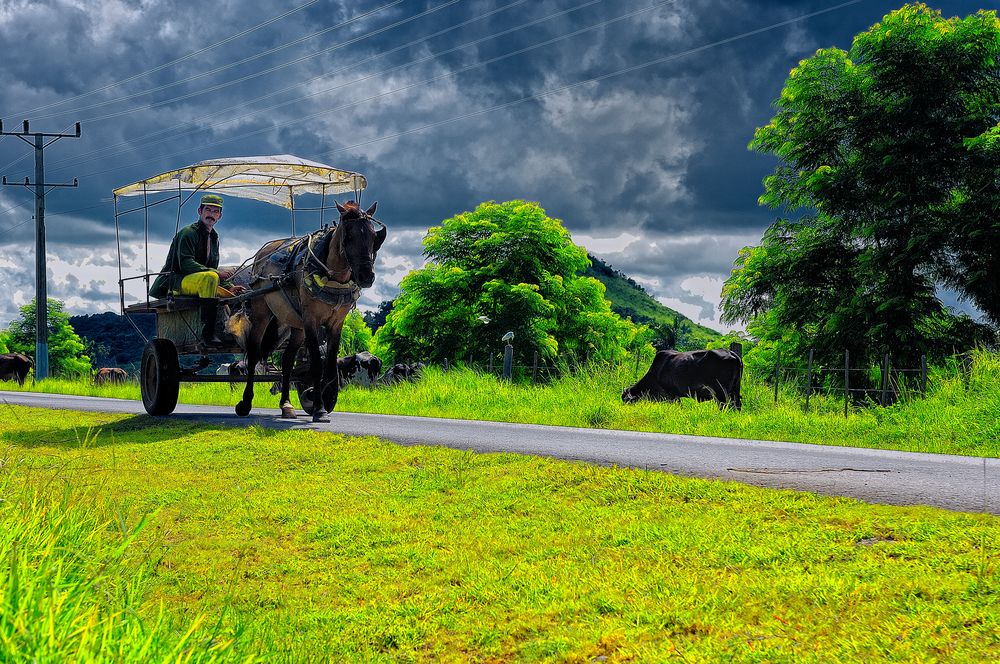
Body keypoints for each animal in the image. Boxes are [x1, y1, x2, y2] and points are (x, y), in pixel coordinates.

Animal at [235, 200, 386, 422]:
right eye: (348, 237)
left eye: (374, 236)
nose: (367, 276)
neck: (331, 277)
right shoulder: (311, 320)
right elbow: (316, 363)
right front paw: (319, 407)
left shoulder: (336, 323)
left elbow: (330, 364)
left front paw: (322, 396)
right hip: (262, 311)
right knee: (254, 354)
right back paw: (245, 403)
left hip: (296, 324)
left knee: (287, 361)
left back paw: (286, 405)